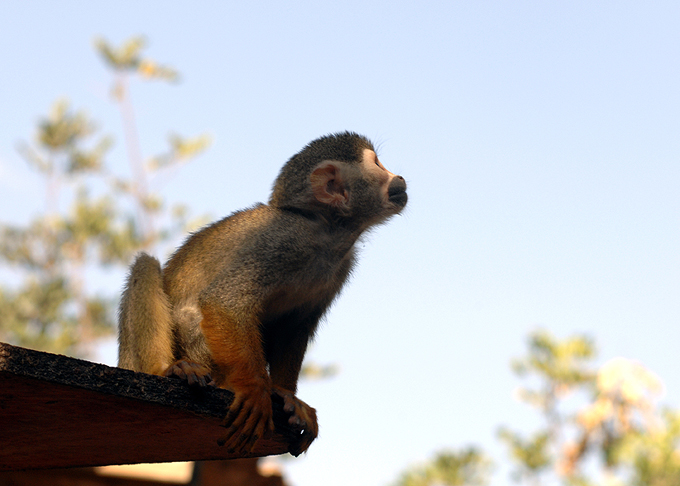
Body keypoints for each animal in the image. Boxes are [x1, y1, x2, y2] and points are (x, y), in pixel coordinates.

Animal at [117, 132, 406, 456]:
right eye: (378, 164)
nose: (398, 178)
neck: (326, 233)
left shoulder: (341, 266)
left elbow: (296, 326)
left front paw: (286, 394)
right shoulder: (281, 242)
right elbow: (224, 303)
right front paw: (254, 389)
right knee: (148, 267)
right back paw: (165, 368)